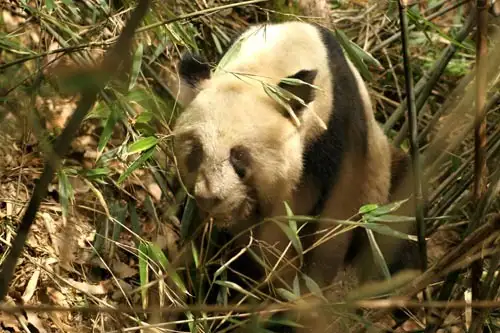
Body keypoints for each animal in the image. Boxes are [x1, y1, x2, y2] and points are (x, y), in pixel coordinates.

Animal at [171, 21, 418, 332]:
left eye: (239, 157)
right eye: (196, 151)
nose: (211, 197)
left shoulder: (333, 138)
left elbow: (329, 225)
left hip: (384, 182)